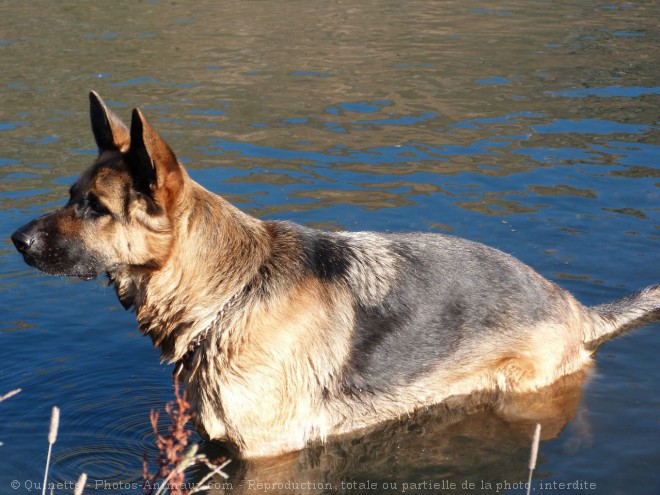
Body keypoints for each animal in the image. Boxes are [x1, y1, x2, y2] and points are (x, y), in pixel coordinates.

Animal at [11, 92, 660, 458]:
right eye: (70, 197)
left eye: (95, 208)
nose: (15, 239)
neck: (230, 291)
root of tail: (569, 301)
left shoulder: (266, 455)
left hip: (522, 398)